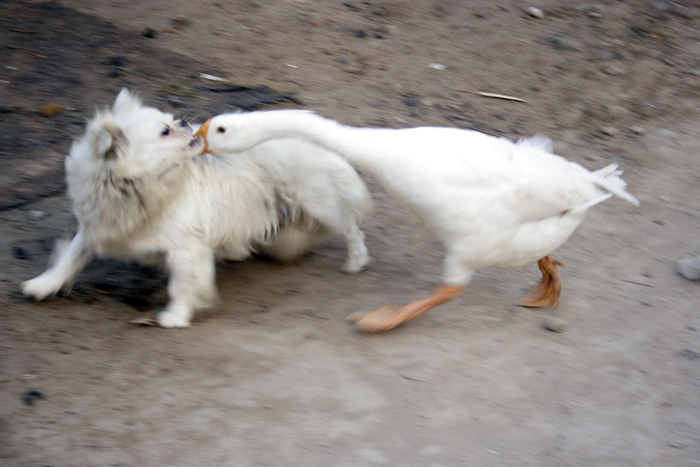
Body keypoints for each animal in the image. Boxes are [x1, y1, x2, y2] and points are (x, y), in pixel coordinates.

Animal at [21, 89, 372, 328]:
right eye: (165, 132)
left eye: (171, 122)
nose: (183, 120)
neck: (139, 192)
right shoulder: (94, 230)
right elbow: (69, 259)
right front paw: (42, 285)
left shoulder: (185, 250)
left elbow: (182, 285)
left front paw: (174, 316)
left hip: (319, 202)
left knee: (350, 227)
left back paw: (356, 261)